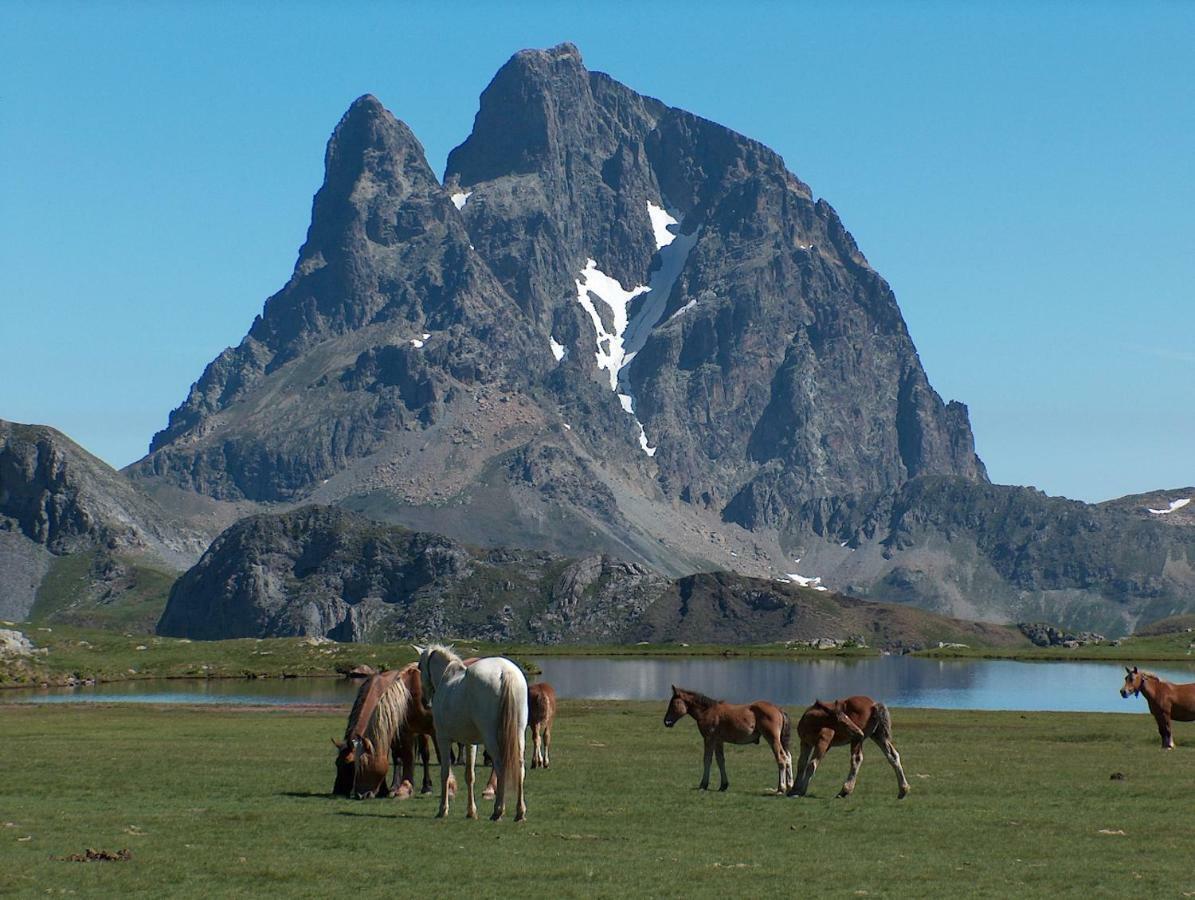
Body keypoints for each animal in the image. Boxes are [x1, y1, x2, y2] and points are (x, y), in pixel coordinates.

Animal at [415, 640, 528, 822]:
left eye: (419, 667)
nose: (425, 701)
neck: (447, 678)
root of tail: (505, 671)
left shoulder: (443, 739)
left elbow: (445, 773)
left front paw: (443, 809)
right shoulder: (470, 743)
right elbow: (470, 775)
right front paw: (471, 811)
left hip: (491, 738)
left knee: (500, 766)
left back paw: (498, 811)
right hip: (518, 734)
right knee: (520, 767)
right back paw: (520, 812)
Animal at [664, 683, 793, 788]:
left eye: (673, 703)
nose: (666, 722)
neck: (707, 711)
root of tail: (778, 709)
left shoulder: (709, 738)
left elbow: (707, 759)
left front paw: (703, 784)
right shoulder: (718, 741)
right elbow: (720, 760)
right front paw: (723, 785)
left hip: (773, 739)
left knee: (781, 758)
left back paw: (781, 787)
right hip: (780, 740)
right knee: (788, 757)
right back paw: (790, 784)